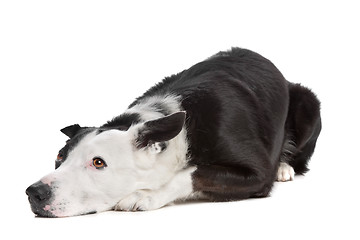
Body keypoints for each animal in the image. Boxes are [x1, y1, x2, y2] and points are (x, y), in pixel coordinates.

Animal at [26, 47, 322, 217]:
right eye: (59, 157)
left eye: (98, 163)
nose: (34, 193)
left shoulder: (258, 176)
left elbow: (193, 172)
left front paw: (145, 195)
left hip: (308, 105)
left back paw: (284, 166)